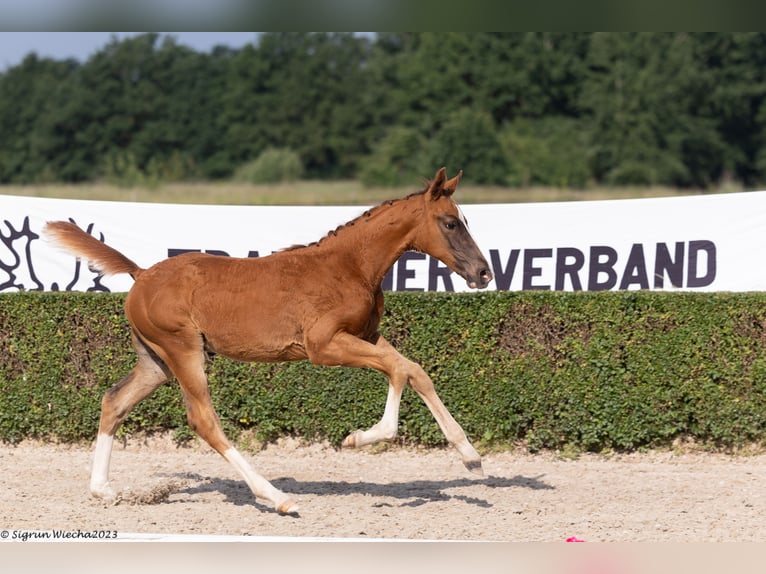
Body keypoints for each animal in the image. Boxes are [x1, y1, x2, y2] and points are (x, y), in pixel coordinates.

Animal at [45, 169, 496, 516]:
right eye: (451, 222)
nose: (483, 272)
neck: (349, 266)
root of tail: (141, 275)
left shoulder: (365, 335)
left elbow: (416, 371)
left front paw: (471, 457)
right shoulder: (323, 346)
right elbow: (399, 370)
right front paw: (360, 438)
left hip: (155, 361)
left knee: (114, 401)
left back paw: (103, 490)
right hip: (182, 350)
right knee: (204, 420)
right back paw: (278, 497)